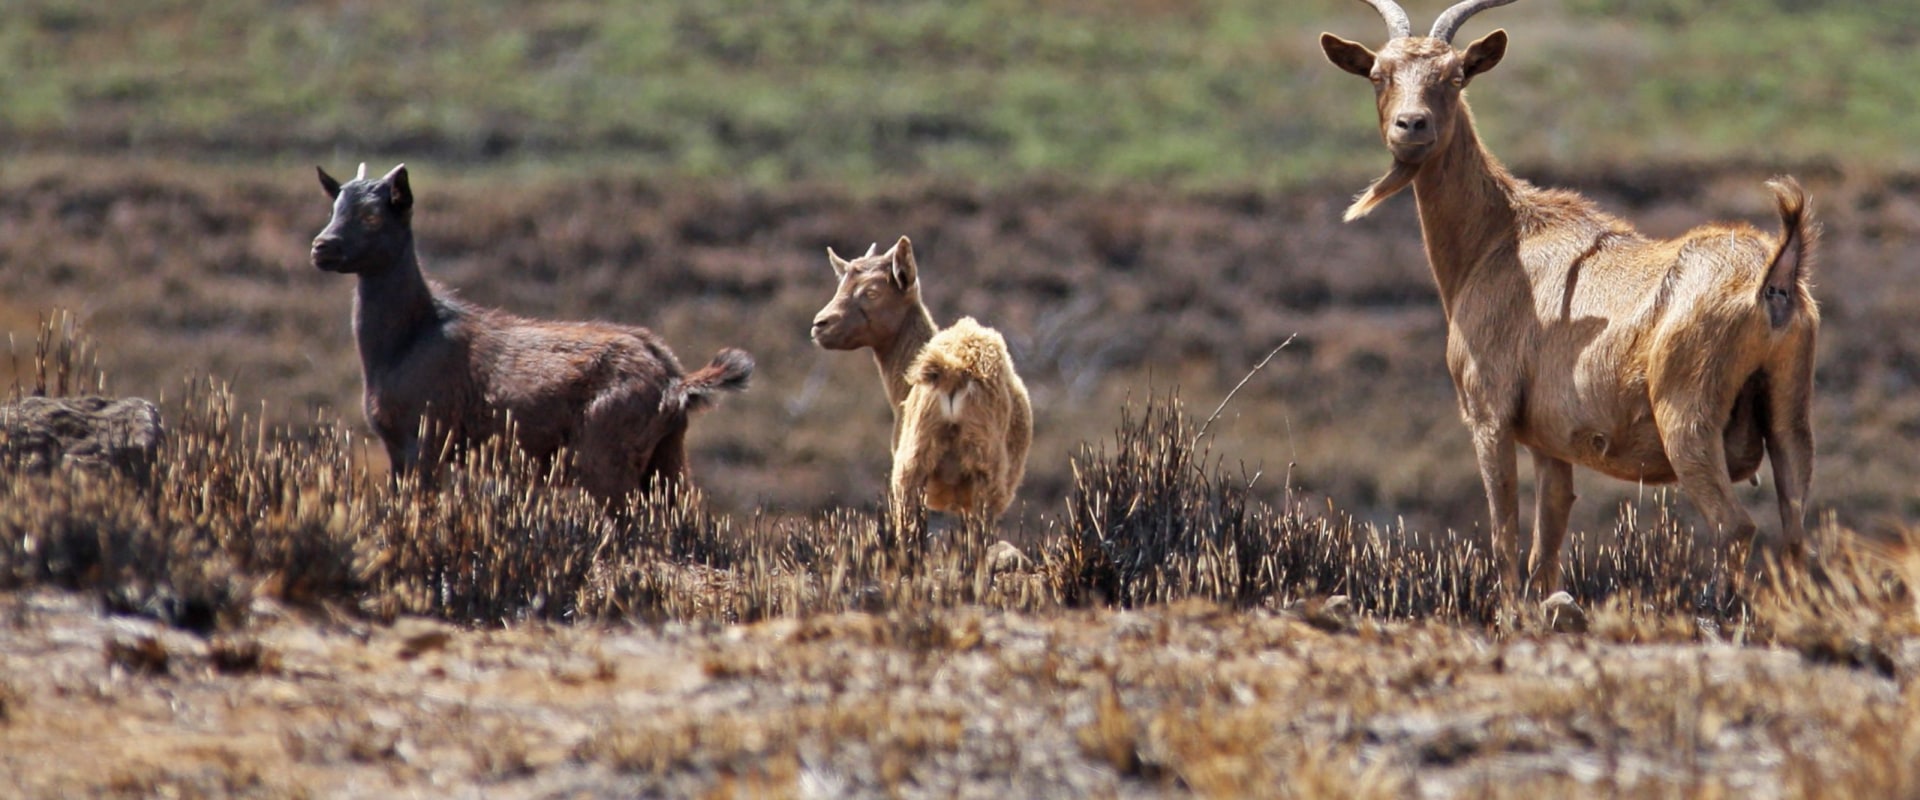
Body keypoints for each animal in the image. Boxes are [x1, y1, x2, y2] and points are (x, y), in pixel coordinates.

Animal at [311, 162, 752, 502]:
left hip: (606, 457)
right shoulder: (396, 445)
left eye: (373, 216)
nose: (321, 247)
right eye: (334, 208)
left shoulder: (426, 438)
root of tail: (676, 381)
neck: (410, 339)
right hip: (666, 456)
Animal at [1320, 0, 1812, 594]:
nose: (1411, 126)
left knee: (1735, 527)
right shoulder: (1550, 441)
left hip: (1687, 415)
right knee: (1797, 533)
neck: (1500, 238)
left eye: (1456, 76)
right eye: (1378, 74)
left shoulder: (1488, 411)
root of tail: (1774, 277)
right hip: (1789, 416)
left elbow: (1504, 537)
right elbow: (1546, 548)